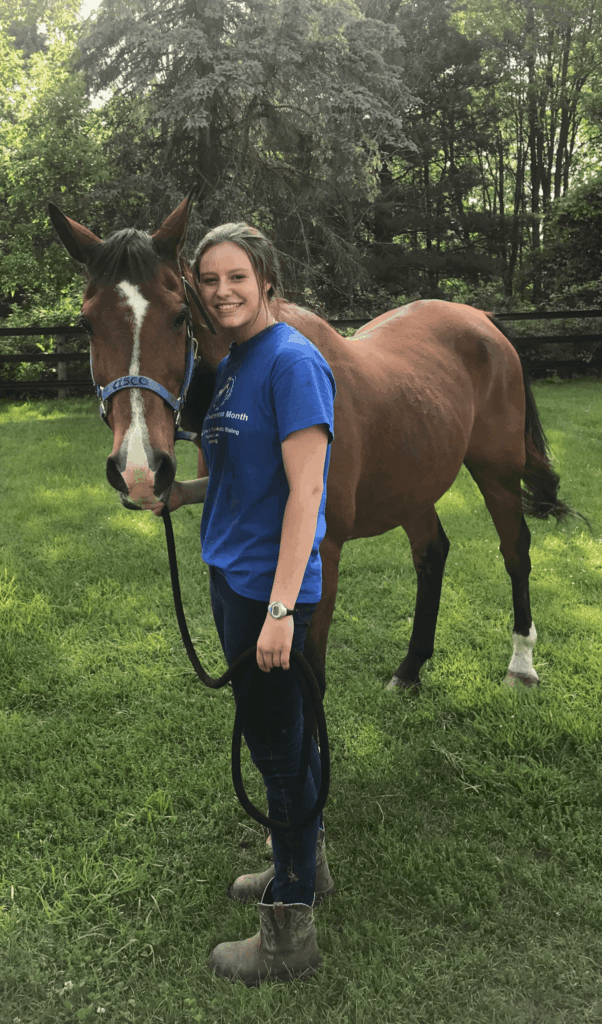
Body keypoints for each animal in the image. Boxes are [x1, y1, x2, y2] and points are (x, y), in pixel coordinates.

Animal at [48, 194, 578, 691]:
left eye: (179, 316)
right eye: (87, 323)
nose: (139, 470)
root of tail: (483, 320)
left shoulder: (319, 562)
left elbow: (311, 677)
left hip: (497, 472)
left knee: (515, 550)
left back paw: (521, 665)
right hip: (413, 483)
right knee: (432, 554)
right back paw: (410, 669)